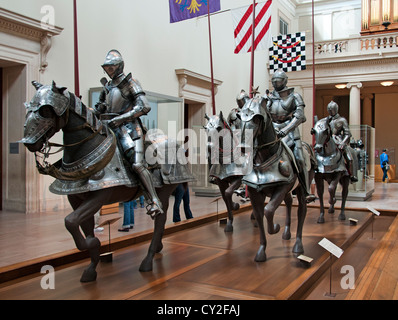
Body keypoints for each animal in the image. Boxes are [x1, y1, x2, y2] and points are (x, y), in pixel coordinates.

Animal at [19, 82, 194, 282]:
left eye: (46, 110)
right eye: (28, 108)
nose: (28, 142)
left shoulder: (99, 196)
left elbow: (70, 221)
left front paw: (93, 243)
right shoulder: (75, 197)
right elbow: (79, 224)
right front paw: (91, 265)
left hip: (164, 190)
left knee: (159, 217)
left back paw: (148, 259)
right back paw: (157, 248)